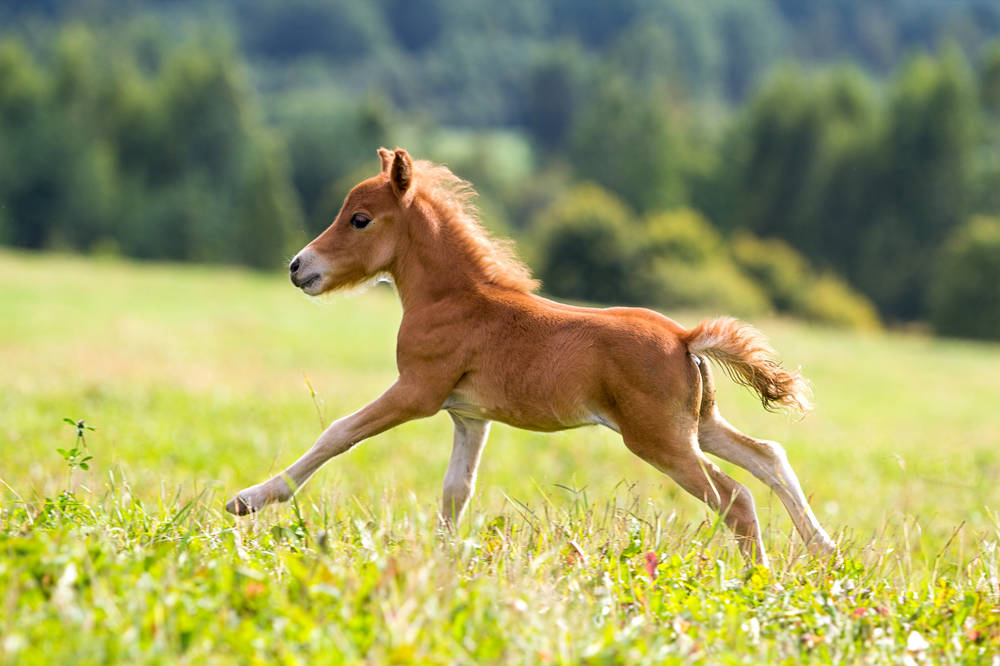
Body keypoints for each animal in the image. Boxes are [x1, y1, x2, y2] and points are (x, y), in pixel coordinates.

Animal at [227, 148, 836, 564]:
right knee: (769, 457)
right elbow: (456, 491)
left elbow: (337, 434)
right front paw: (440, 564)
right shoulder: (469, 416)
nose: (298, 267)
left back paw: (760, 577)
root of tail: (687, 338)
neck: (455, 299)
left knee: (736, 497)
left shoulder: (417, 392)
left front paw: (249, 499)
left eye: (360, 219)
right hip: (698, 425)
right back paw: (823, 551)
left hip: (659, 439)